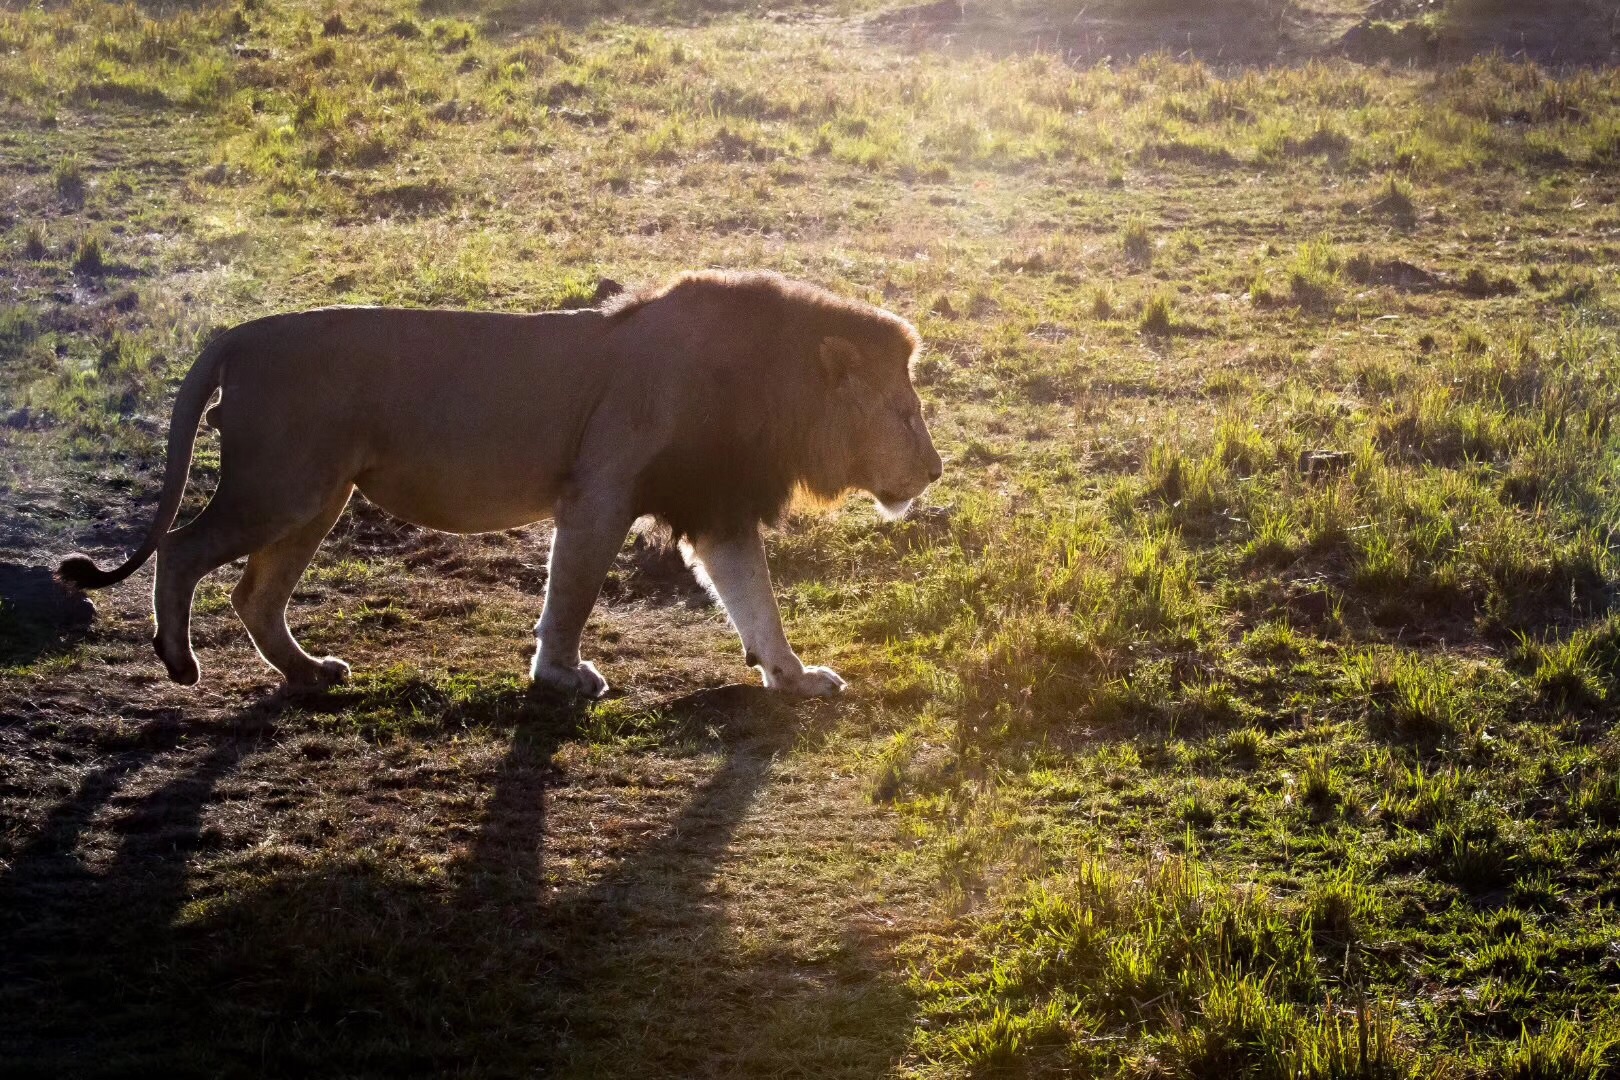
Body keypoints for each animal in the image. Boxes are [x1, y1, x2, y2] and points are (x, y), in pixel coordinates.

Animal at [57, 265, 946, 696]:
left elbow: (757, 602)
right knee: (181, 548)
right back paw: (178, 661)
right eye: (906, 413)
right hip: (284, 487)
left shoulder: (716, 507)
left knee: (254, 594)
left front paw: (793, 679)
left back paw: (307, 673)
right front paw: (559, 676)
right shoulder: (601, 491)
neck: (772, 386)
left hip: (319, 496)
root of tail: (239, 332)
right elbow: (572, 595)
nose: (936, 469)